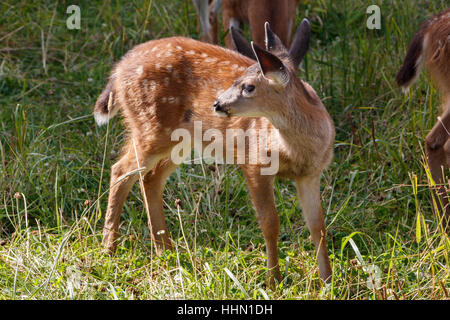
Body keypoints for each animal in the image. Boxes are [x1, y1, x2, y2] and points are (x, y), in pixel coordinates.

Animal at [95, 18, 334, 286]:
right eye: (237, 79)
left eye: (248, 87)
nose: (217, 103)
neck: (296, 152)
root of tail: (118, 68)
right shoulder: (254, 163)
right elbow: (270, 223)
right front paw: (273, 281)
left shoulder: (311, 174)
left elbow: (318, 226)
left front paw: (327, 281)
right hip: (151, 128)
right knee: (121, 170)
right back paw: (109, 249)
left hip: (179, 140)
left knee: (150, 177)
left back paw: (165, 250)